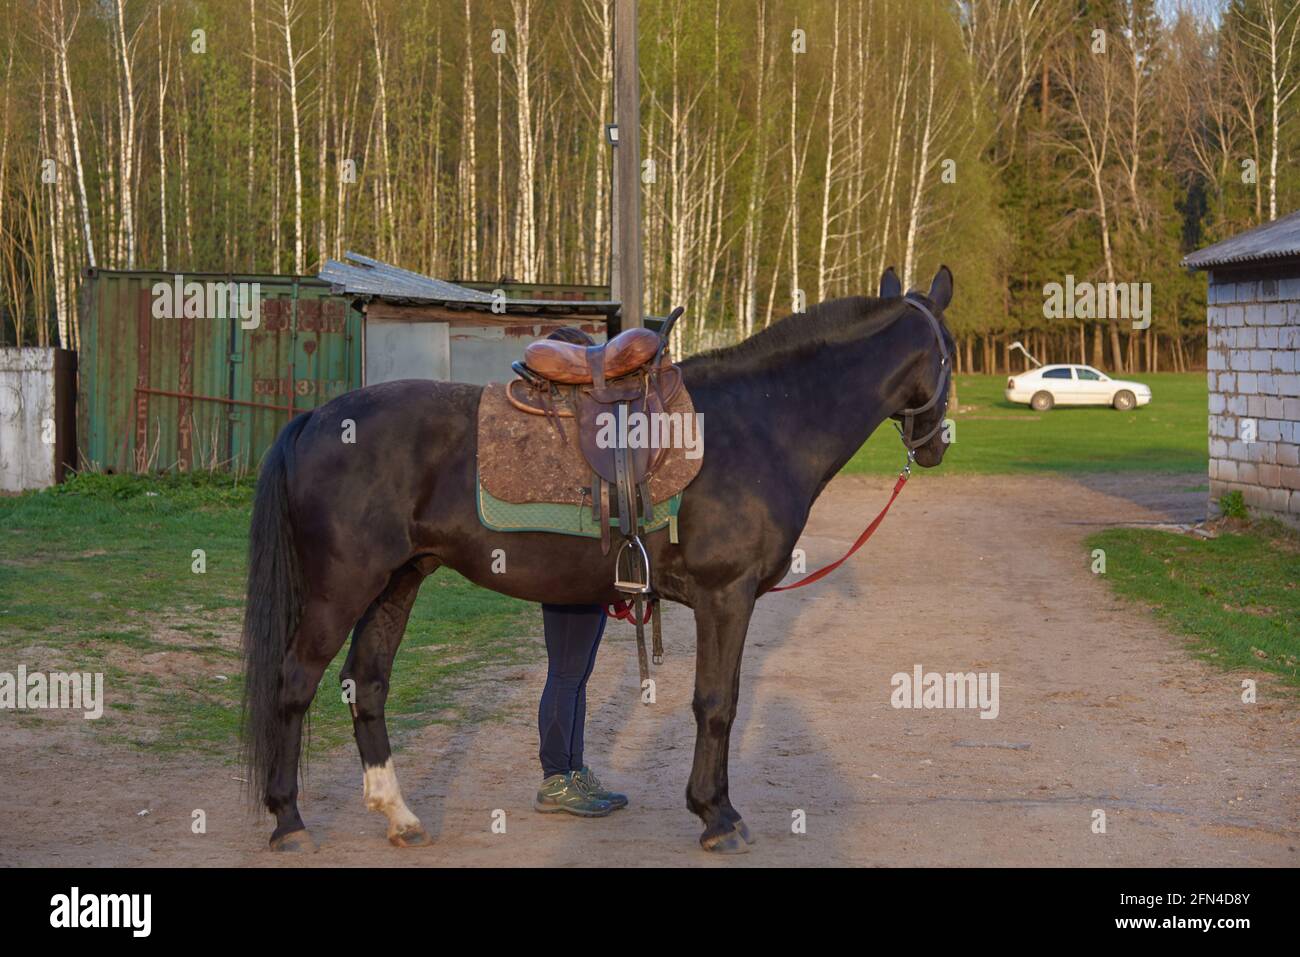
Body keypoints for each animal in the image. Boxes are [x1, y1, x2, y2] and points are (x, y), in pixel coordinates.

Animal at [240, 265, 955, 854]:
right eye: (948, 349)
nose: (938, 445)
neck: (759, 426)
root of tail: (315, 419)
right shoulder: (727, 596)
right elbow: (716, 702)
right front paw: (717, 816)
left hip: (398, 582)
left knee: (367, 684)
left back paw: (400, 816)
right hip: (342, 589)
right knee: (294, 683)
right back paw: (289, 822)